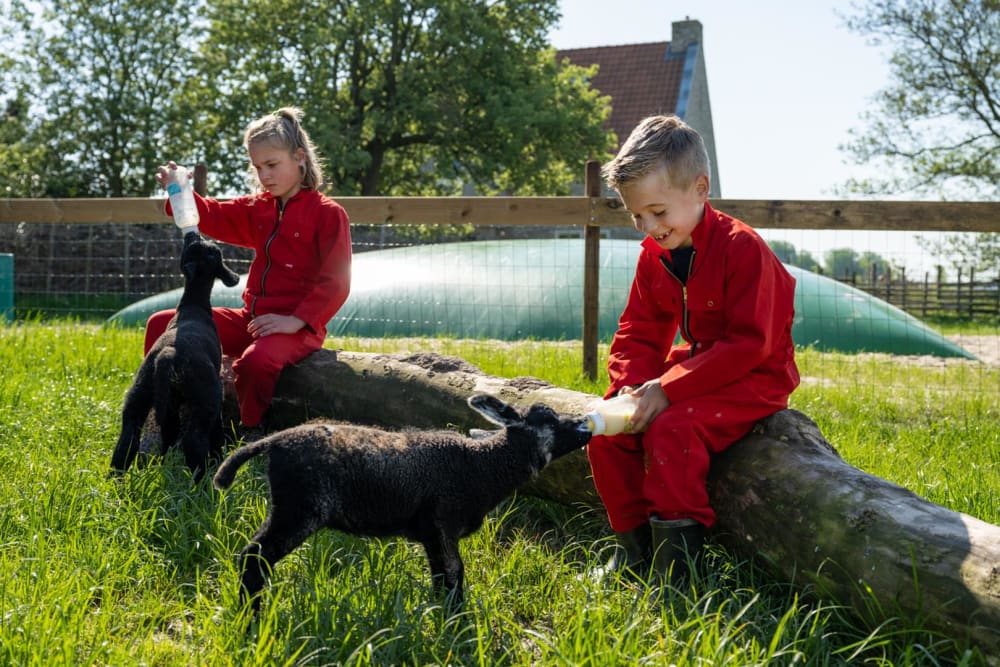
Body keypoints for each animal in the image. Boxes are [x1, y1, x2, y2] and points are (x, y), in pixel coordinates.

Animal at [111, 234, 240, 480]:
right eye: (213, 250)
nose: (192, 234)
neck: (193, 304)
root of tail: (168, 354)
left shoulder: (170, 405)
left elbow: (168, 435)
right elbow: (216, 435)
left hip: (140, 394)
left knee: (127, 440)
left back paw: (115, 482)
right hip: (205, 401)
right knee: (195, 442)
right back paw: (203, 483)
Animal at [213, 396, 592, 612]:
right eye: (548, 419)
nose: (585, 426)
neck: (483, 464)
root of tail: (276, 440)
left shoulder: (430, 535)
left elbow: (441, 580)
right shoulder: (442, 523)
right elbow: (454, 577)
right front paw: (458, 626)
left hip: (288, 507)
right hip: (298, 508)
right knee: (253, 557)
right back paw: (252, 619)